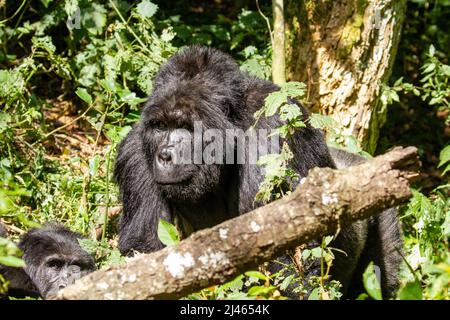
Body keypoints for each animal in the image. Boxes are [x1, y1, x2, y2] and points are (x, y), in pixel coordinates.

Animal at [114, 45, 402, 298]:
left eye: (185, 126)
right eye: (160, 127)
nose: (165, 155)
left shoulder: (274, 126)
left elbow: (289, 260)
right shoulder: (135, 152)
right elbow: (146, 251)